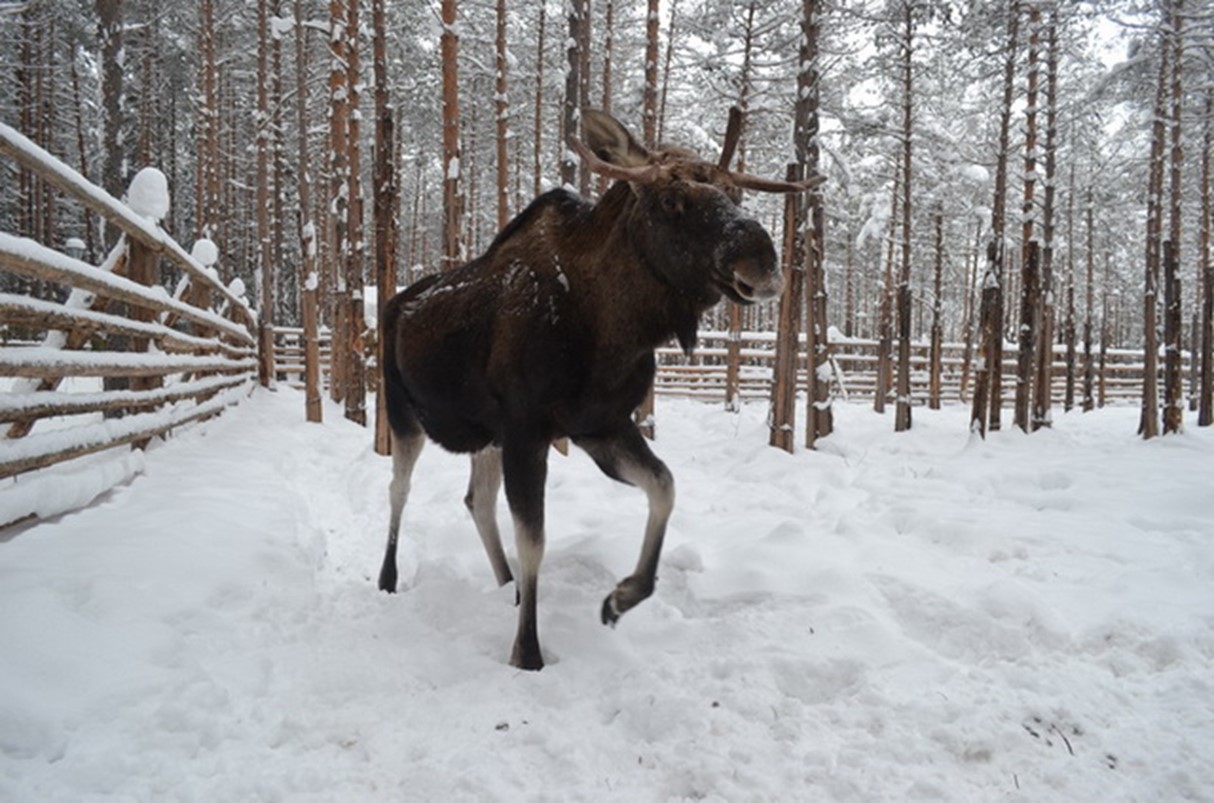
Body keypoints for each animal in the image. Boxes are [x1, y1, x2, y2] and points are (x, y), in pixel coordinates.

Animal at [377, 108, 822, 670]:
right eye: (670, 200)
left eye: (734, 193)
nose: (762, 260)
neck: (613, 331)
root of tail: (393, 304)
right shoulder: (528, 430)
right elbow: (535, 539)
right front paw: (527, 651)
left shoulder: (601, 425)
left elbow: (664, 485)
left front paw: (622, 596)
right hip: (402, 411)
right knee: (399, 489)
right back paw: (389, 577)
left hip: (485, 436)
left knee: (477, 500)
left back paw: (507, 586)